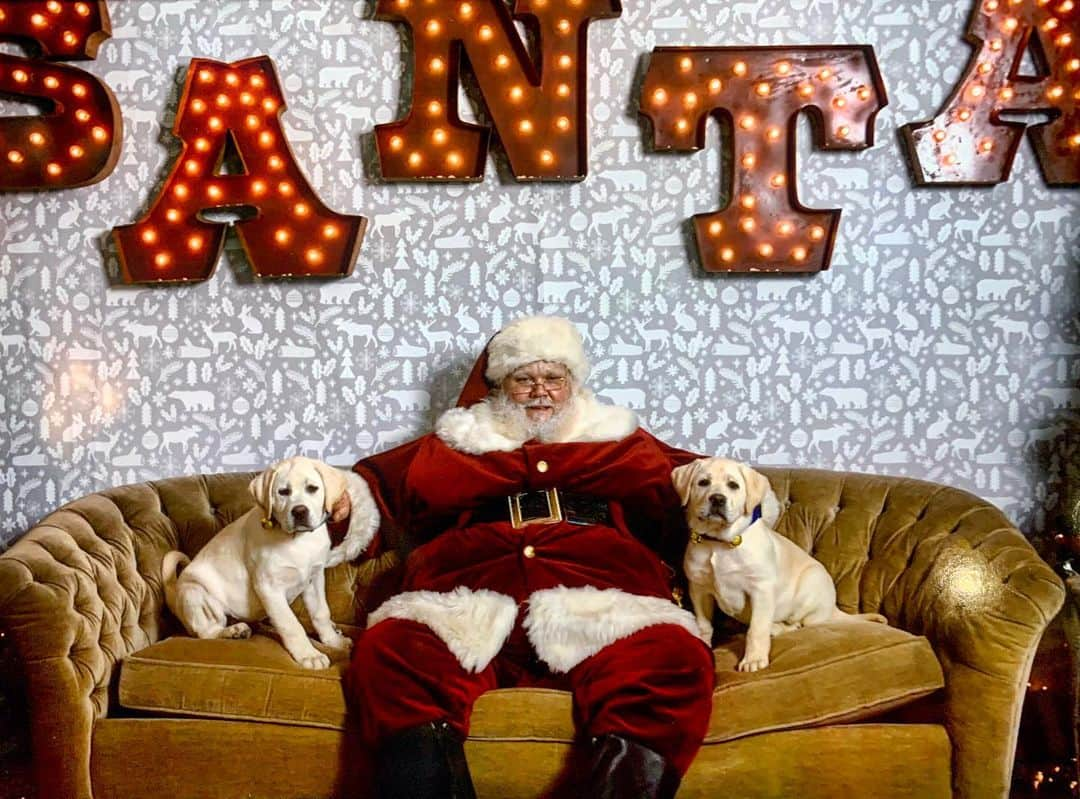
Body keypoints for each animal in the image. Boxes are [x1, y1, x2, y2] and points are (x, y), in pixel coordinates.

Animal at [160, 455, 375, 669]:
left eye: (312, 488)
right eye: (283, 492)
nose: (299, 511)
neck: (298, 540)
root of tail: (174, 592)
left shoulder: (314, 579)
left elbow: (321, 613)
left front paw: (333, 641)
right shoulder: (269, 586)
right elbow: (291, 624)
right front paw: (309, 655)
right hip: (195, 593)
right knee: (206, 632)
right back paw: (233, 631)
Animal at [673, 457, 885, 669]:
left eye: (733, 485)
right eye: (703, 483)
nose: (717, 499)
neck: (719, 542)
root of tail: (833, 608)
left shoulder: (761, 590)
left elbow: (757, 629)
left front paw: (754, 659)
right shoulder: (698, 589)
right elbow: (704, 625)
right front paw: (705, 645)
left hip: (810, 585)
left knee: (799, 624)